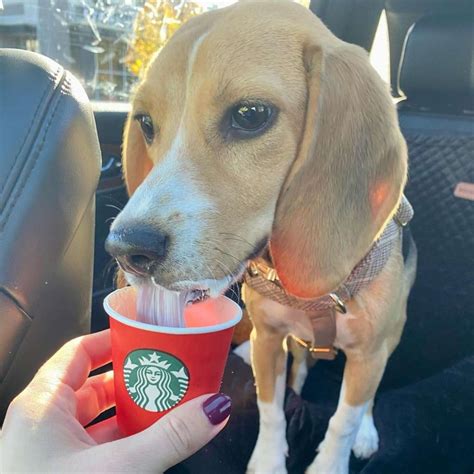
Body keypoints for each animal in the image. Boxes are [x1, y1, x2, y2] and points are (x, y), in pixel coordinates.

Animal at [105, 1, 416, 472]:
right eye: (145, 122)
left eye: (249, 115)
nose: (126, 249)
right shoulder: (267, 339)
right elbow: (271, 409)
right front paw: (268, 461)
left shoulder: (368, 353)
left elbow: (344, 419)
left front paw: (331, 461)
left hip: (389, 337)